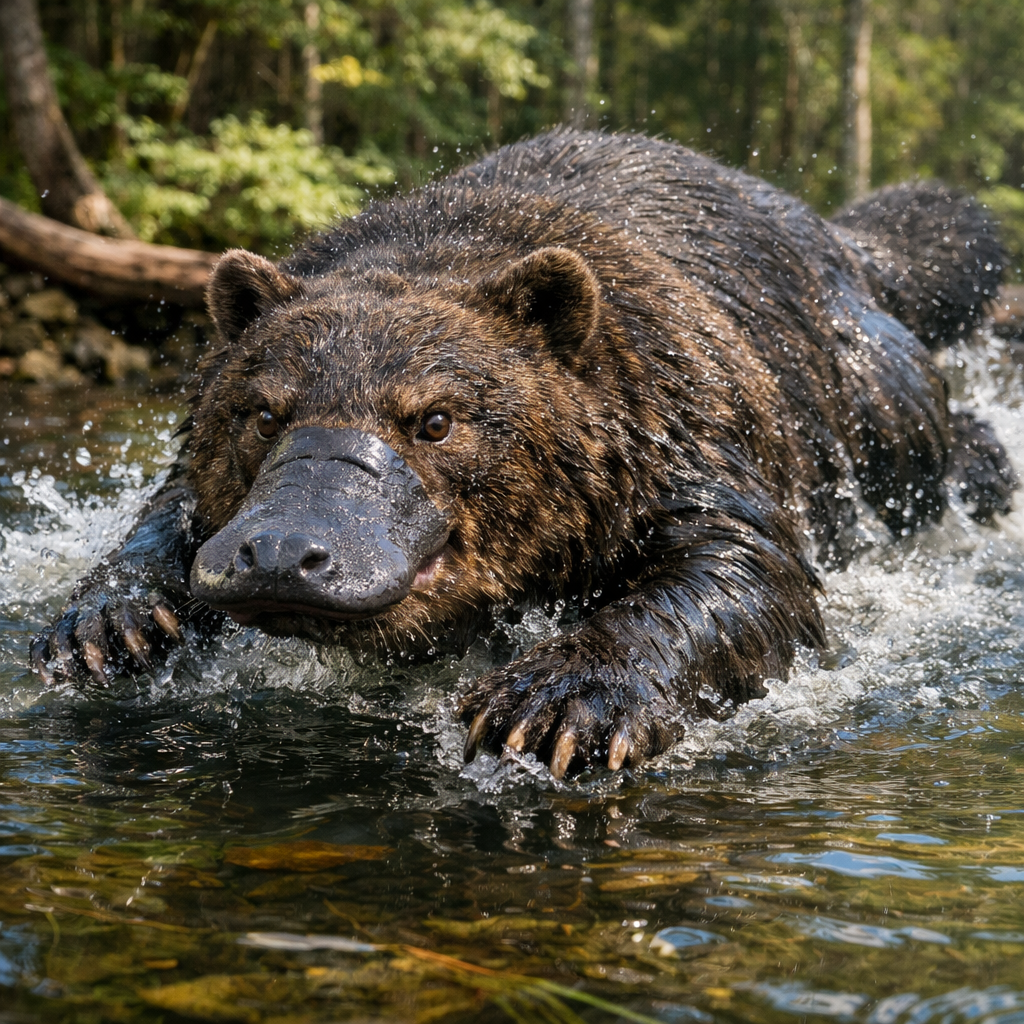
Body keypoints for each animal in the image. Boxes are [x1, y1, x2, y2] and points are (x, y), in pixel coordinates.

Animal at [30, 128, 1015, 779]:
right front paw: (108, 623)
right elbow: (174, 506)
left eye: (435, 420)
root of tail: (833, 232)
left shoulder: (685, 420)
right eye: (265, 412)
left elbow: (742, 569)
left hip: (864, 382)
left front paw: (558, 705)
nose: (283, 553)